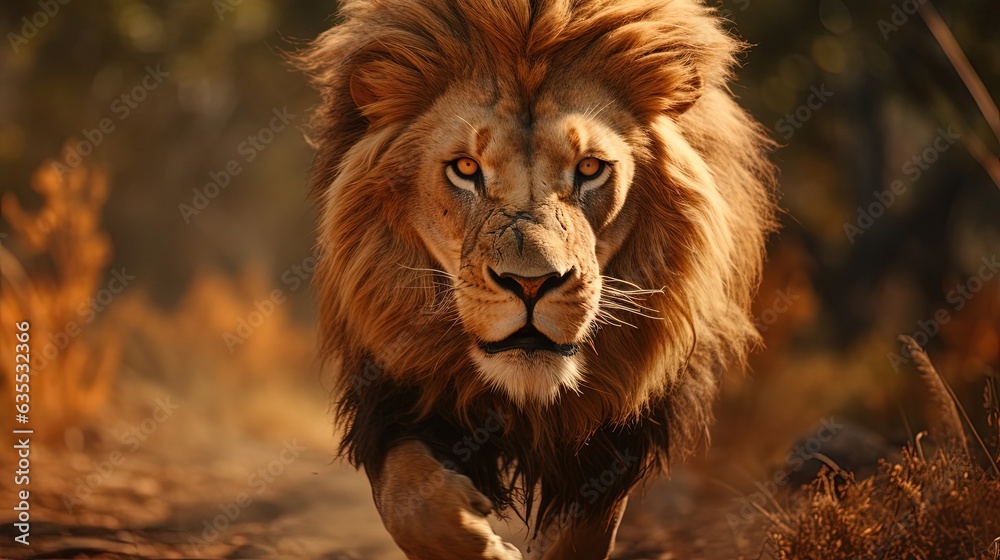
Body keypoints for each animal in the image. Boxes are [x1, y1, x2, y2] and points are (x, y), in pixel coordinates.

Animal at [298, 0, 776, 558]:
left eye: (589, 168)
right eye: (466, 168)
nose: (530, 284)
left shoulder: (613, 436)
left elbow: (583, 534)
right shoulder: (396, 392)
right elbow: (409, 504)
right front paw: (485, 545)